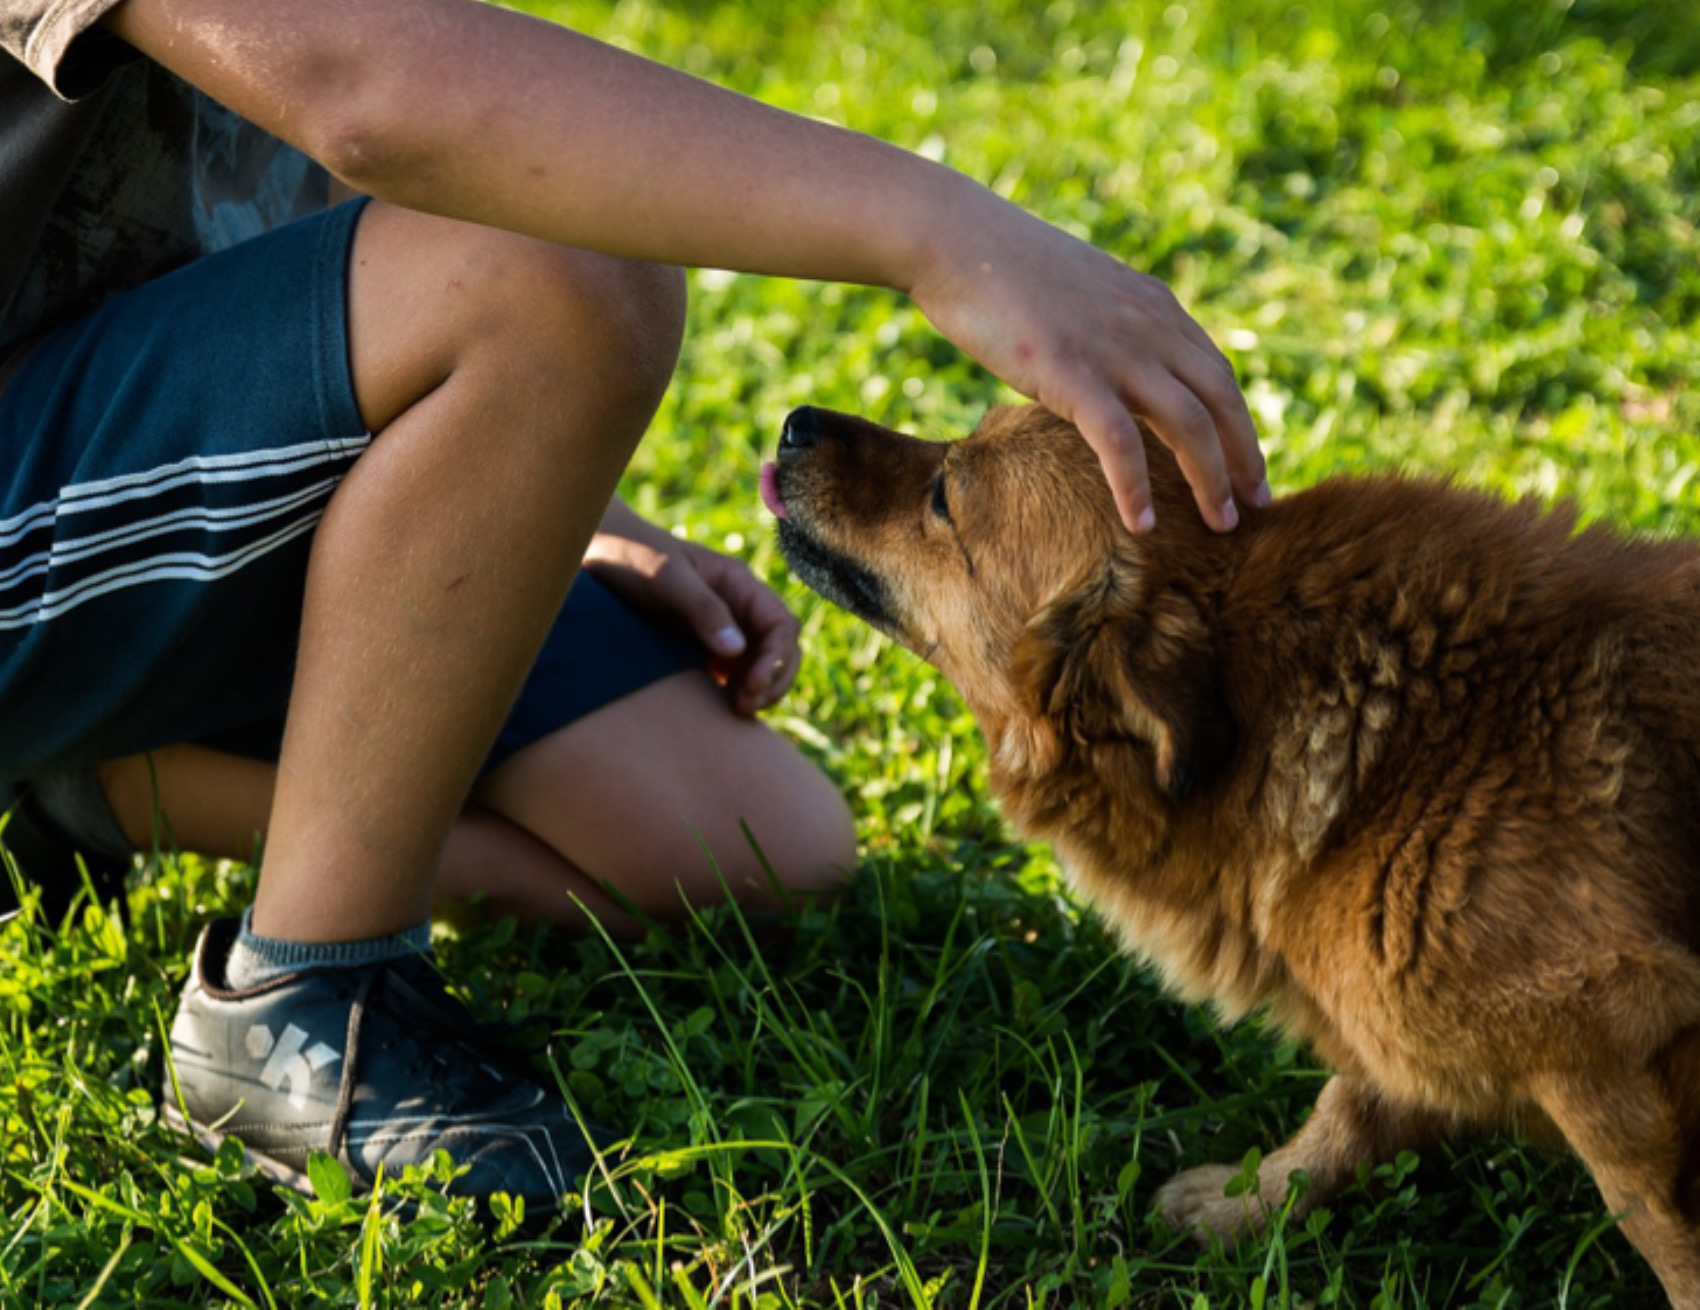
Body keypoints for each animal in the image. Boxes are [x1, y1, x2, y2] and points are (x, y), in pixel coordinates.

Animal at [765, 404, 1700, 1304]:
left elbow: (1661, 1231)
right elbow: (1351, 1105)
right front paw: (1252, 1204)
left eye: (944, 496)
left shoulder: (1609, 1040)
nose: (796, 421)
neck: (1403, 744)